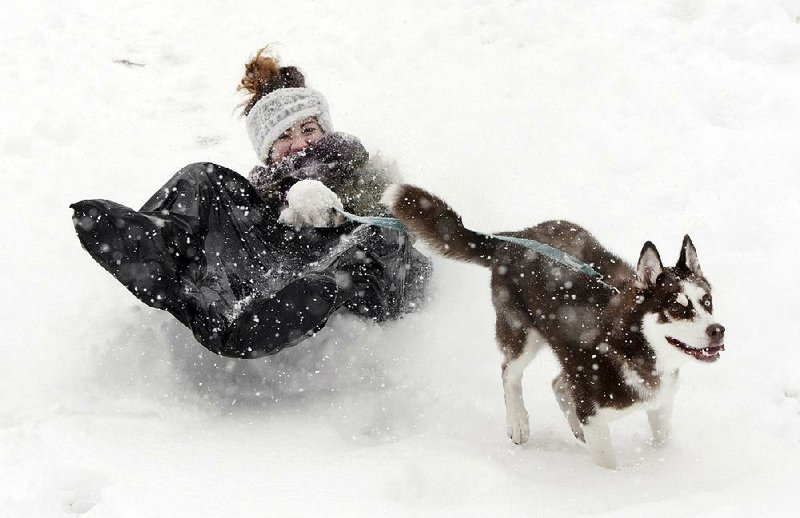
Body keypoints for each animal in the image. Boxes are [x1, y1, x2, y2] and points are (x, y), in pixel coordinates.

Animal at [384, 186, 728, 472]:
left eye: (707, 302)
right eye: (677, 308)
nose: (718, 330)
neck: (631, 346)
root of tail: (513, 239)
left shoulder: (659, 404)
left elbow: (661, 441)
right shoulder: (594, 411)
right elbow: (607, 463)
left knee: (557, 383)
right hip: (521, 332)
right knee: (509, 372)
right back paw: (518, 422)